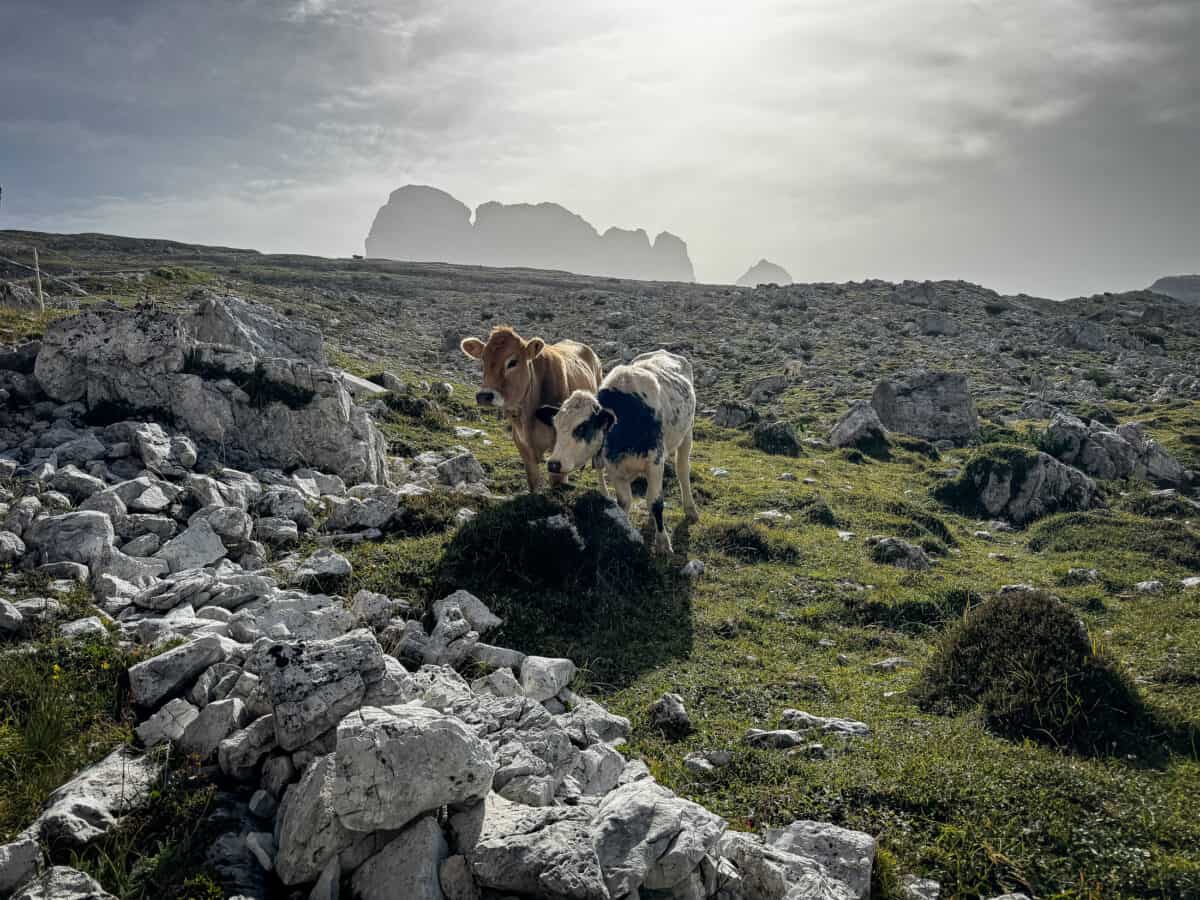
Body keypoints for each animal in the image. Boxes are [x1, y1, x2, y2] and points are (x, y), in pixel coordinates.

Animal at [460, 326, 603, 492]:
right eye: (483, 360)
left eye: (513, 362)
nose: (484, 395)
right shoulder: (522, 445)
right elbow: (533, 480)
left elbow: (557, 480)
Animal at [540, 350, 698, 554]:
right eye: (556, 426)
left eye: (582, 427)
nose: (553, 463)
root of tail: (663, 352)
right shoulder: (615, 469)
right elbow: (624, 502)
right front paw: (625, 532)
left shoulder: (655, 462)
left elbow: (656, 502)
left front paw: (663, 542)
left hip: (687, 434)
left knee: (682, 471)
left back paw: (690, 509)